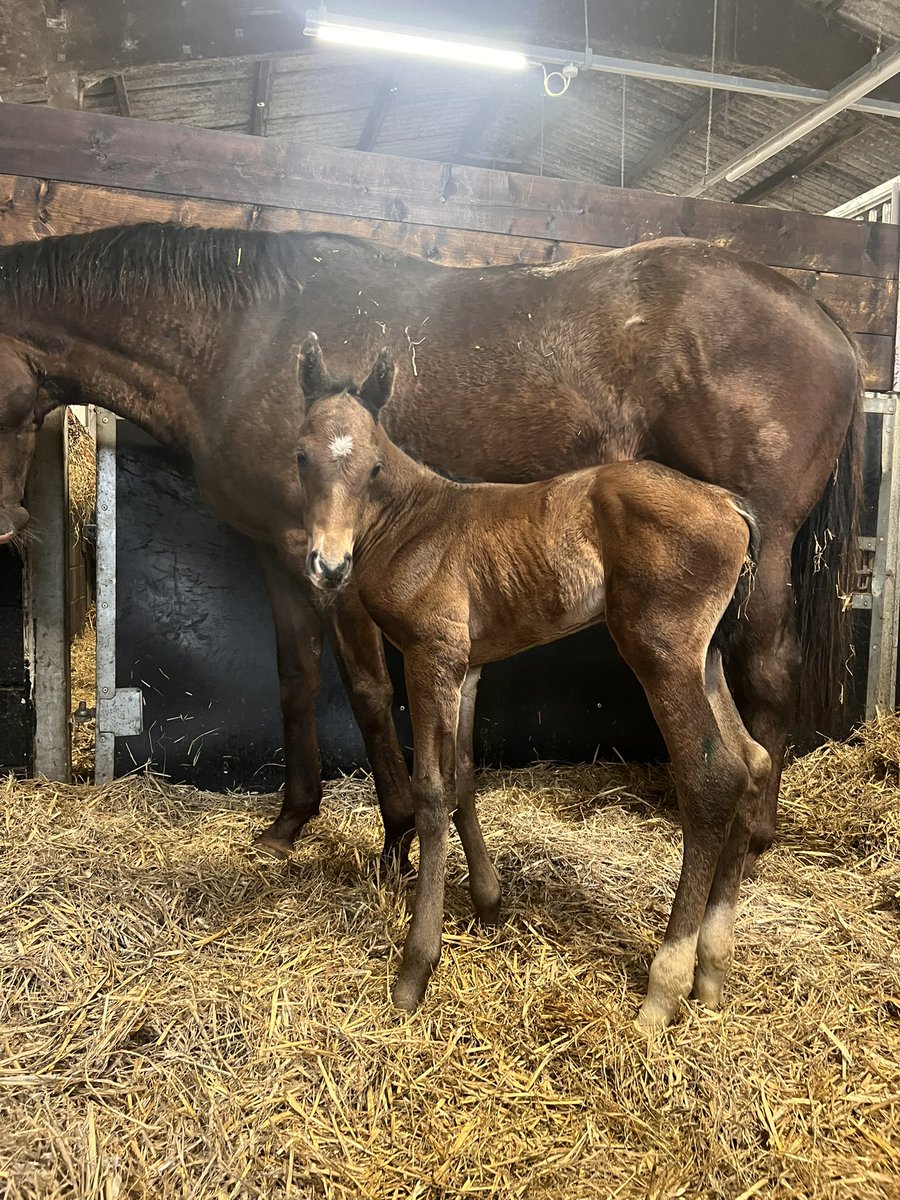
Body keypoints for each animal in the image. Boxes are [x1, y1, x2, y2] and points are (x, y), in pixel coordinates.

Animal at [297, 333, 777, 1027]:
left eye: (374, 469)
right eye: (302, 457)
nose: (328, 566)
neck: (417, 520)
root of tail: (727, 502)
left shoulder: (430, 655)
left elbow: (433, 791)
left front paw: (414, 971)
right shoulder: (467, 666)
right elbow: (465, 773)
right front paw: (490, 904)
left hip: (661, 651)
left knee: (712, 778)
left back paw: (663, 989)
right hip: (705, 655)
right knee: (756, 761)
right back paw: (711, 972)